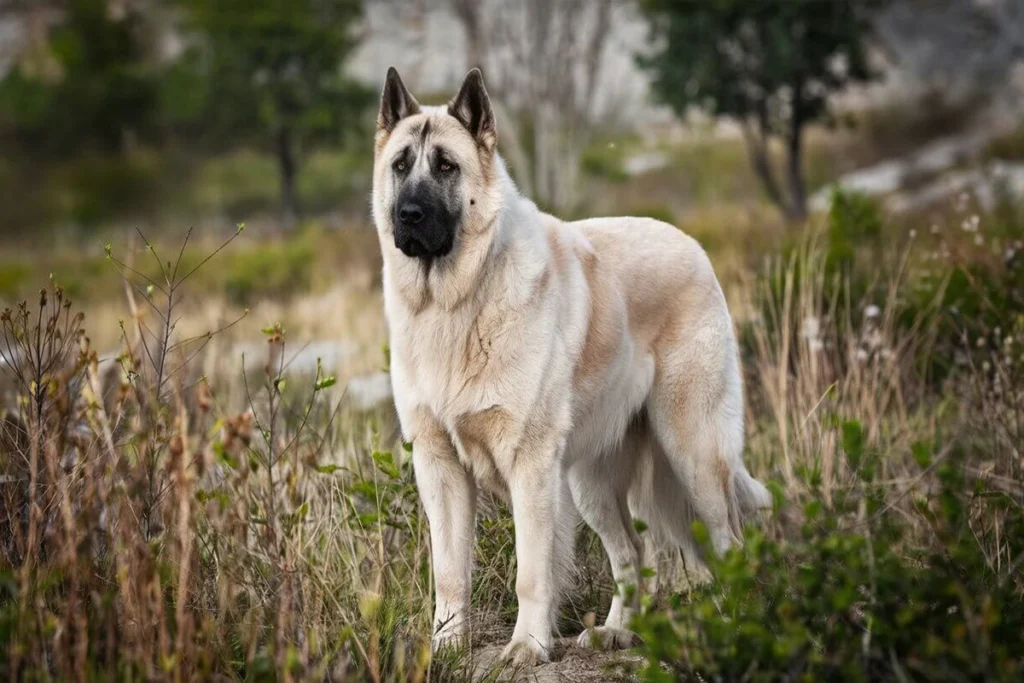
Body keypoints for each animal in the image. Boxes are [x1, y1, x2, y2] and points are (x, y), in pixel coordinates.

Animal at [368, 66, 770, 663]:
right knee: (633, 555)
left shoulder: (530, 466)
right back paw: (618, 631)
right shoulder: (439, 466)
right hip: (591, 483)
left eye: (445, 166)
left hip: (692, 454)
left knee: (728, 542)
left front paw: (527, 646)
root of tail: (693, 247)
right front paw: (446, 645)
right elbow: (449, 571)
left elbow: (532, 571)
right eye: (400, 166)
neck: (458, 302)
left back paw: (734, 625)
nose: (408, 215)